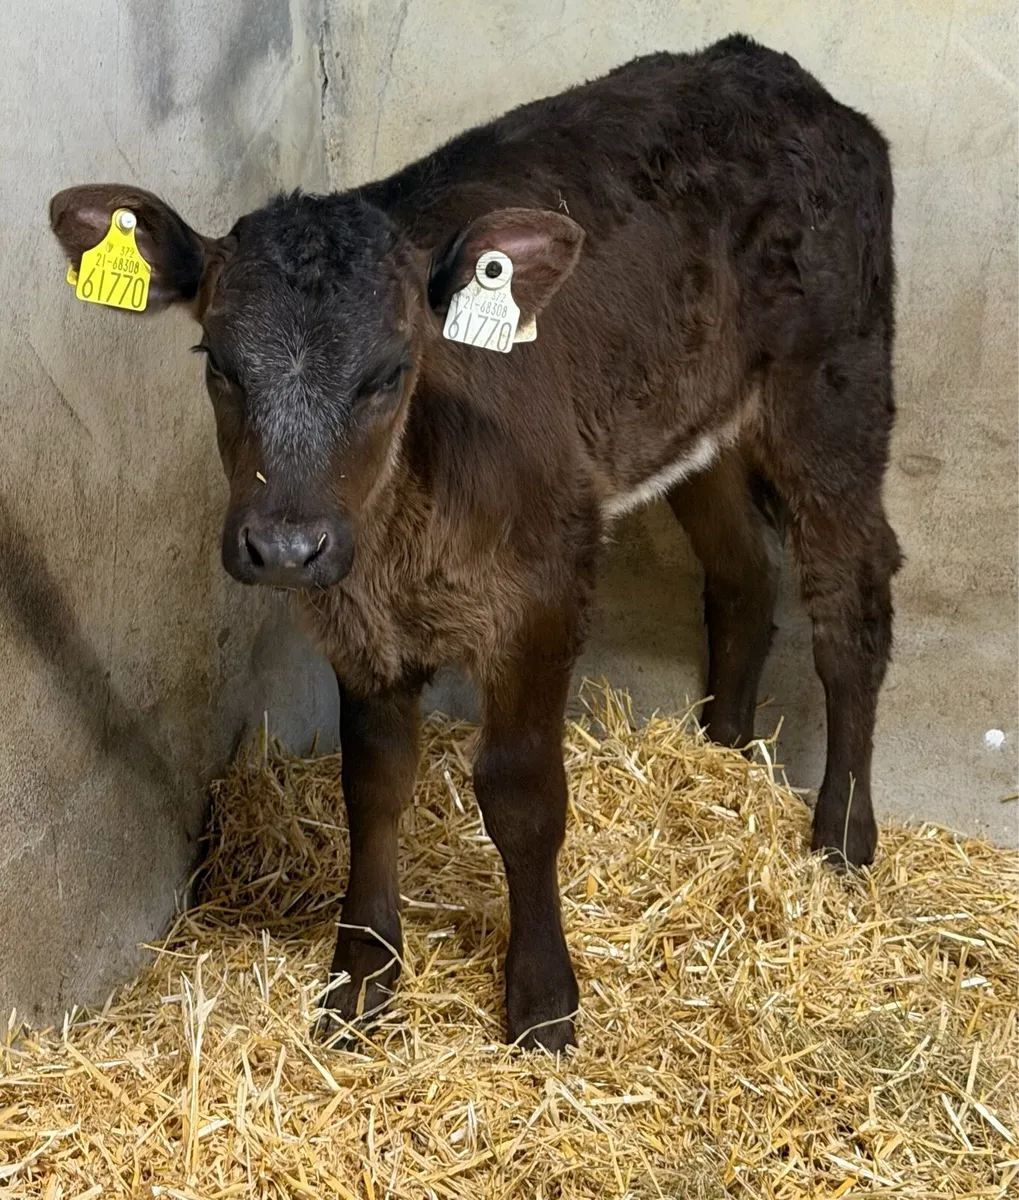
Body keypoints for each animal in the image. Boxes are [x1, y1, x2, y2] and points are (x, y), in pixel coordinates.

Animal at [50, 34, 902, 1051]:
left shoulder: (543, 587)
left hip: (835, 384)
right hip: (699, 421)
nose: (286, 547)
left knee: (850, 602)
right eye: (218, 362)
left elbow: (521, 794)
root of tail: (767, 66)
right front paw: (360, 978)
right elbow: (373, 783)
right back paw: (721, 754)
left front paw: (541, 1001)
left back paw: (842, 833)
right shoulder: (358, 620)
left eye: (390, 370)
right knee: (742, 574)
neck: (398, 533)